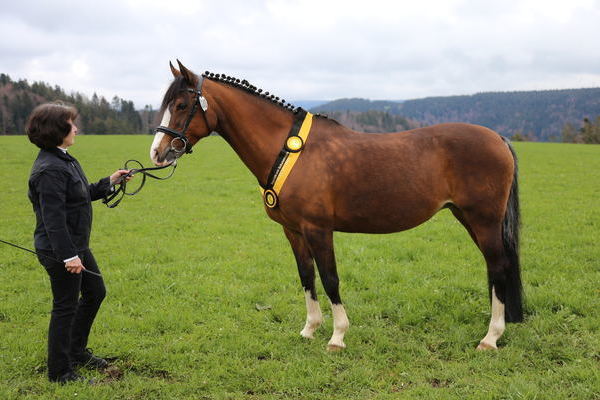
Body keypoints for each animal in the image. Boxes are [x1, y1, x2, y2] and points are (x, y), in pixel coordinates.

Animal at [151, 61, 524, 352]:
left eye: (182, 105)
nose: (158, 152)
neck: (288, 150)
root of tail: (498, 138)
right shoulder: (293, 231)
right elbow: (306, 276)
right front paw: (309, 329)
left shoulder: (319, 229)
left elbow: (330, 278)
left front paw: (337, 336)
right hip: (469, 218)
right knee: (496, 268)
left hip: (483, 220)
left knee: (498, 267)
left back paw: (491, 338)